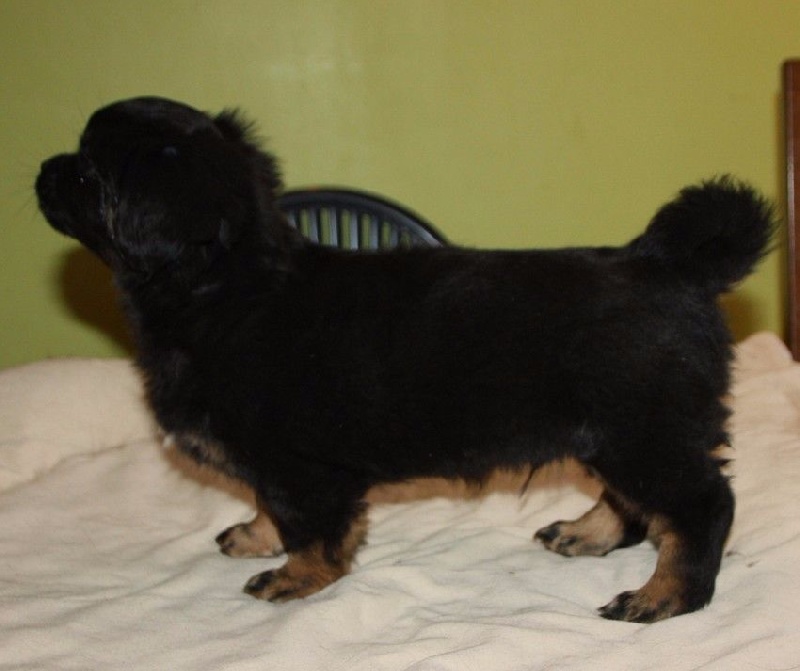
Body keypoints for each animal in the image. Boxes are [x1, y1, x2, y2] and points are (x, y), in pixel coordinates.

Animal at [36, 96, 775, 622]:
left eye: (89, 170)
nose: (42, 169)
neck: (225, 285)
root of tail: (671, 262)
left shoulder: (302, 467)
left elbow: (310, 528)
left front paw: (296, 576)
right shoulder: (278, 465)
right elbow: (270, 506)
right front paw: (256, 534)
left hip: (645, 429)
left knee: (703, 505)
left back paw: (667, 593)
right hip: (616, 433)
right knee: (636, 503)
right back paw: (587, 532)